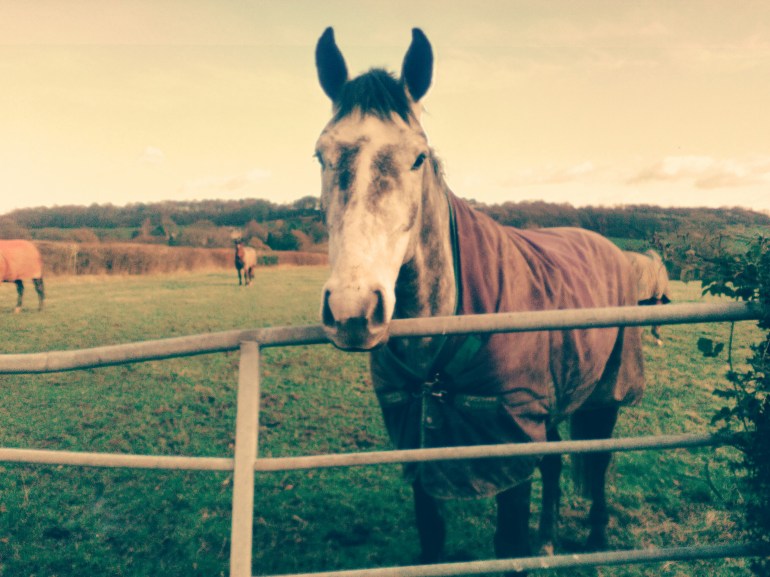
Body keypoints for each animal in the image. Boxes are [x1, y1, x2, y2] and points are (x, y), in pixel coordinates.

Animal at [314, 28, 645, 574]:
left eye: (418, 157)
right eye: (321, 155)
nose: (352, 311)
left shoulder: (509, 440)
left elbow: (507, 542)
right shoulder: (421, 441)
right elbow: (432, 540)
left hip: (604, 395)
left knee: (597, 460)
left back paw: (596, 540)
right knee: (555, 460)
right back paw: (548, 543)